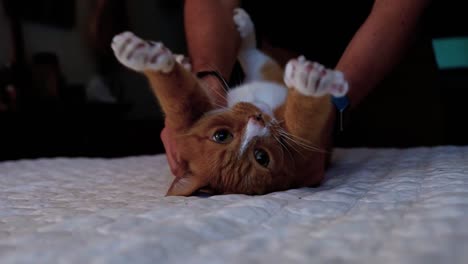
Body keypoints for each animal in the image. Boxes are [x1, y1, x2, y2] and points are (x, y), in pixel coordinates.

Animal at [112, 7, 348, 196]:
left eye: (221, 135)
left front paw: (144, 56)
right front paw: (311, 81)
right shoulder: (301, 152)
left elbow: (177, 93)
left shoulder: (189, 116)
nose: (257, 119)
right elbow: (305, 117)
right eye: (261, 157)